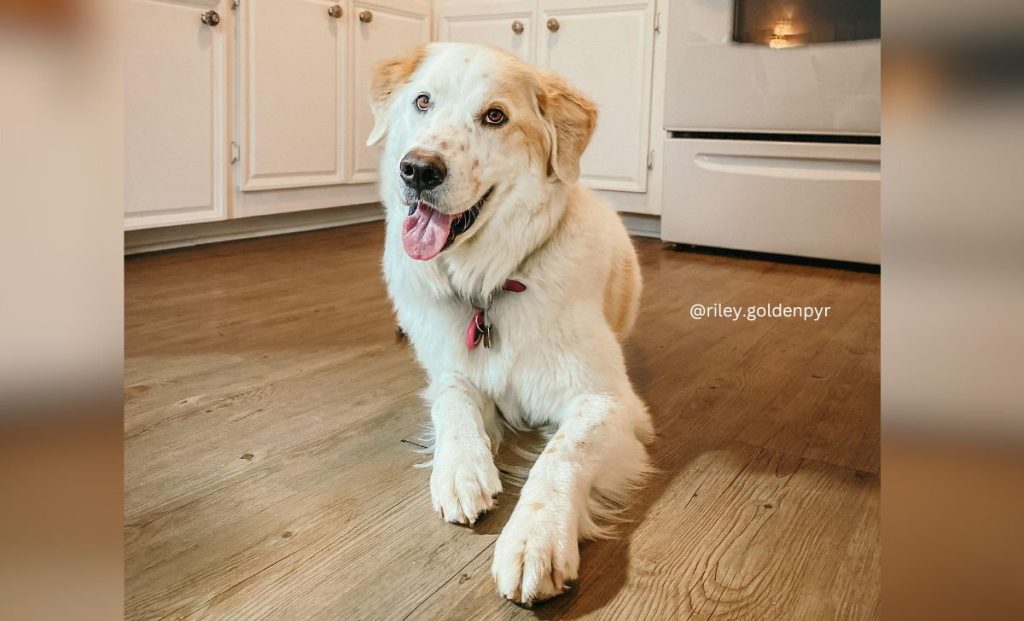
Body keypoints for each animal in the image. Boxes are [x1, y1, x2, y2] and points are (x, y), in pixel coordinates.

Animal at [372, 43, 651, 606]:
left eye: (495, 117)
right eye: (423, 101)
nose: (418, 170)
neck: (495, 282)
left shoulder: (608, 401)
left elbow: (561, 454)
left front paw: (534, 538)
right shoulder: (452, 372)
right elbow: (453, 403)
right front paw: (461, 470)